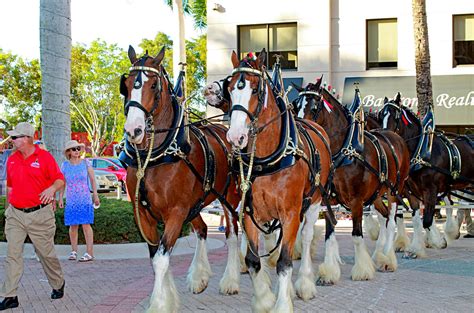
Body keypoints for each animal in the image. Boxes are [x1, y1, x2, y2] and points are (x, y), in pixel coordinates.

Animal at [120, 46, 243, 312]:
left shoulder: (175, 212)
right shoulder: (143, 213)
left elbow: (161, 259)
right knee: (203, 229)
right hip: (195, 204)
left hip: (228, 197)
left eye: (153, 84)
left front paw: (158, 304)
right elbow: (156, 257)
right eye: (126, 84)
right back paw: (199, 277)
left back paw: (230, 280)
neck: (156, 156)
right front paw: (169, 297)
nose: (134, 131)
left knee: (232, 234)